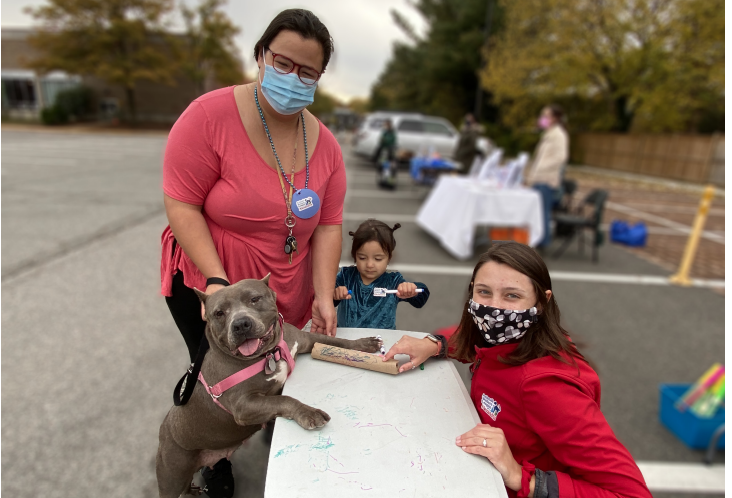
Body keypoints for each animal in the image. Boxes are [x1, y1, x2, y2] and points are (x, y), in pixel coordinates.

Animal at [156, 274, 384, 496]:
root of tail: (163, 431)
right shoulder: (243, 407)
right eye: (219, 313)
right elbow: (284, 399)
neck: (268, 353)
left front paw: (363, 344)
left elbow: (334, 342)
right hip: (172, 476)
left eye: (254, 299)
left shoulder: (306, 339)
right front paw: (309, 413)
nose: (240, 324)